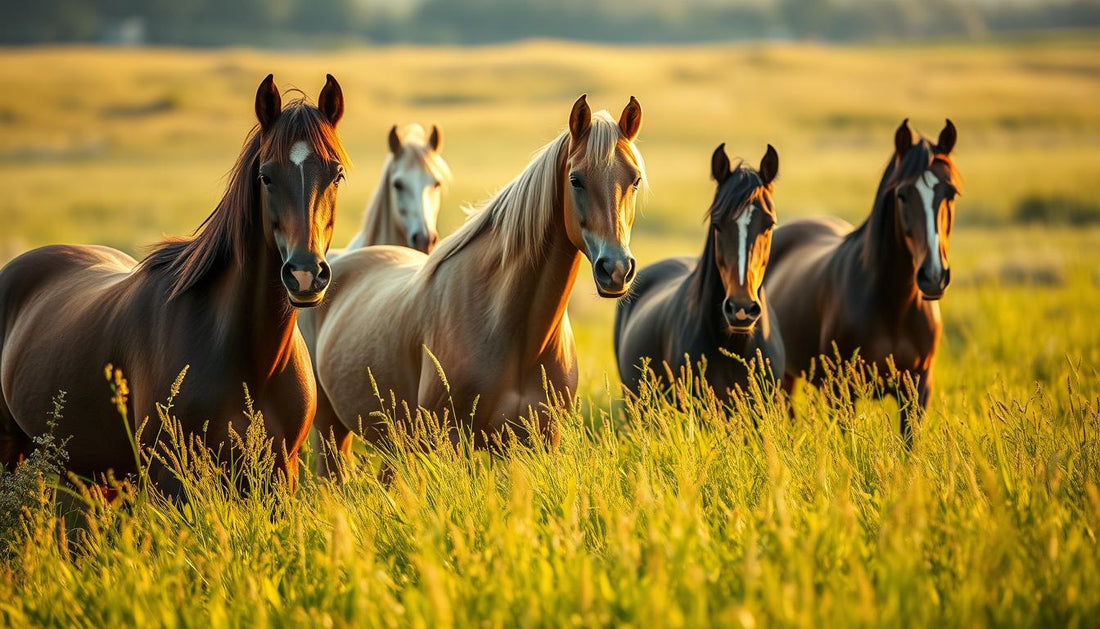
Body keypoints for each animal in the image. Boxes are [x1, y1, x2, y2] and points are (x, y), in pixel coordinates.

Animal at [0, 74, 348, 495]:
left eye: (336, 174)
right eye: (266, 177)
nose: (304, 274)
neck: (246, 356)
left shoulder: (281, 474)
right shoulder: (169, 481)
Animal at [763, 119, 960, 441]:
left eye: (951, 193)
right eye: (902, 195)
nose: (932, 276)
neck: (893, 306)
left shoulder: (917, 390)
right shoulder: (841, 391)